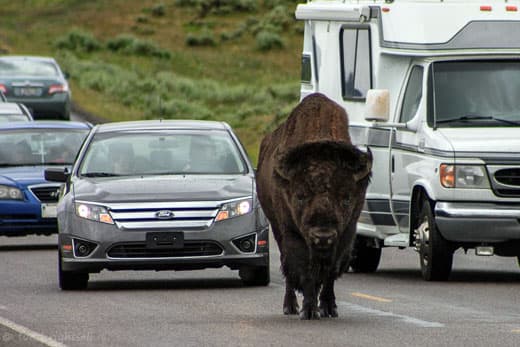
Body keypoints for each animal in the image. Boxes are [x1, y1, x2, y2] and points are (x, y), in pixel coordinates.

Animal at [255, 92, 370, 320]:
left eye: (346, 197)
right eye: (300, 196)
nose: (322, 236)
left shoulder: (345, 235)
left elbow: (330, 273)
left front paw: (328, 308)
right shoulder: (294, 234)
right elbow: (305, 270)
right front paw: (308, 310)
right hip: (277, 230)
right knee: (287, 269)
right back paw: (290, 307)